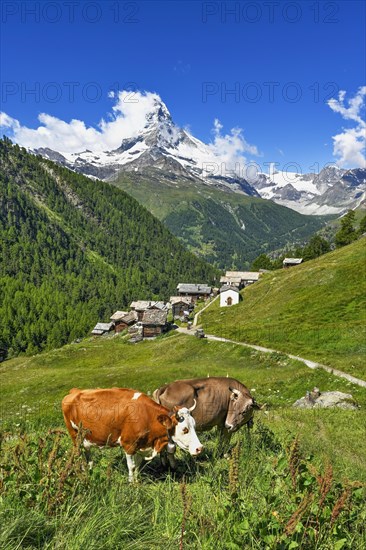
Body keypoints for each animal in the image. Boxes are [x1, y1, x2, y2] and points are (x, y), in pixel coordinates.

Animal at [61, 388, 202, 484]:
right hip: (74, 435)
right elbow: (132, 465)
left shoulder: (141, 445)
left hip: (86, 437)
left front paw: (137, 480)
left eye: (195, 425)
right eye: (184, 429)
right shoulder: (128, 444)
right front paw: (131, 483)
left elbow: (138, 464)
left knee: (87, 451)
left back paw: (89, 468)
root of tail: (75, 391)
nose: (200, 448)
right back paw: (82, 470)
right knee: (78, 453)